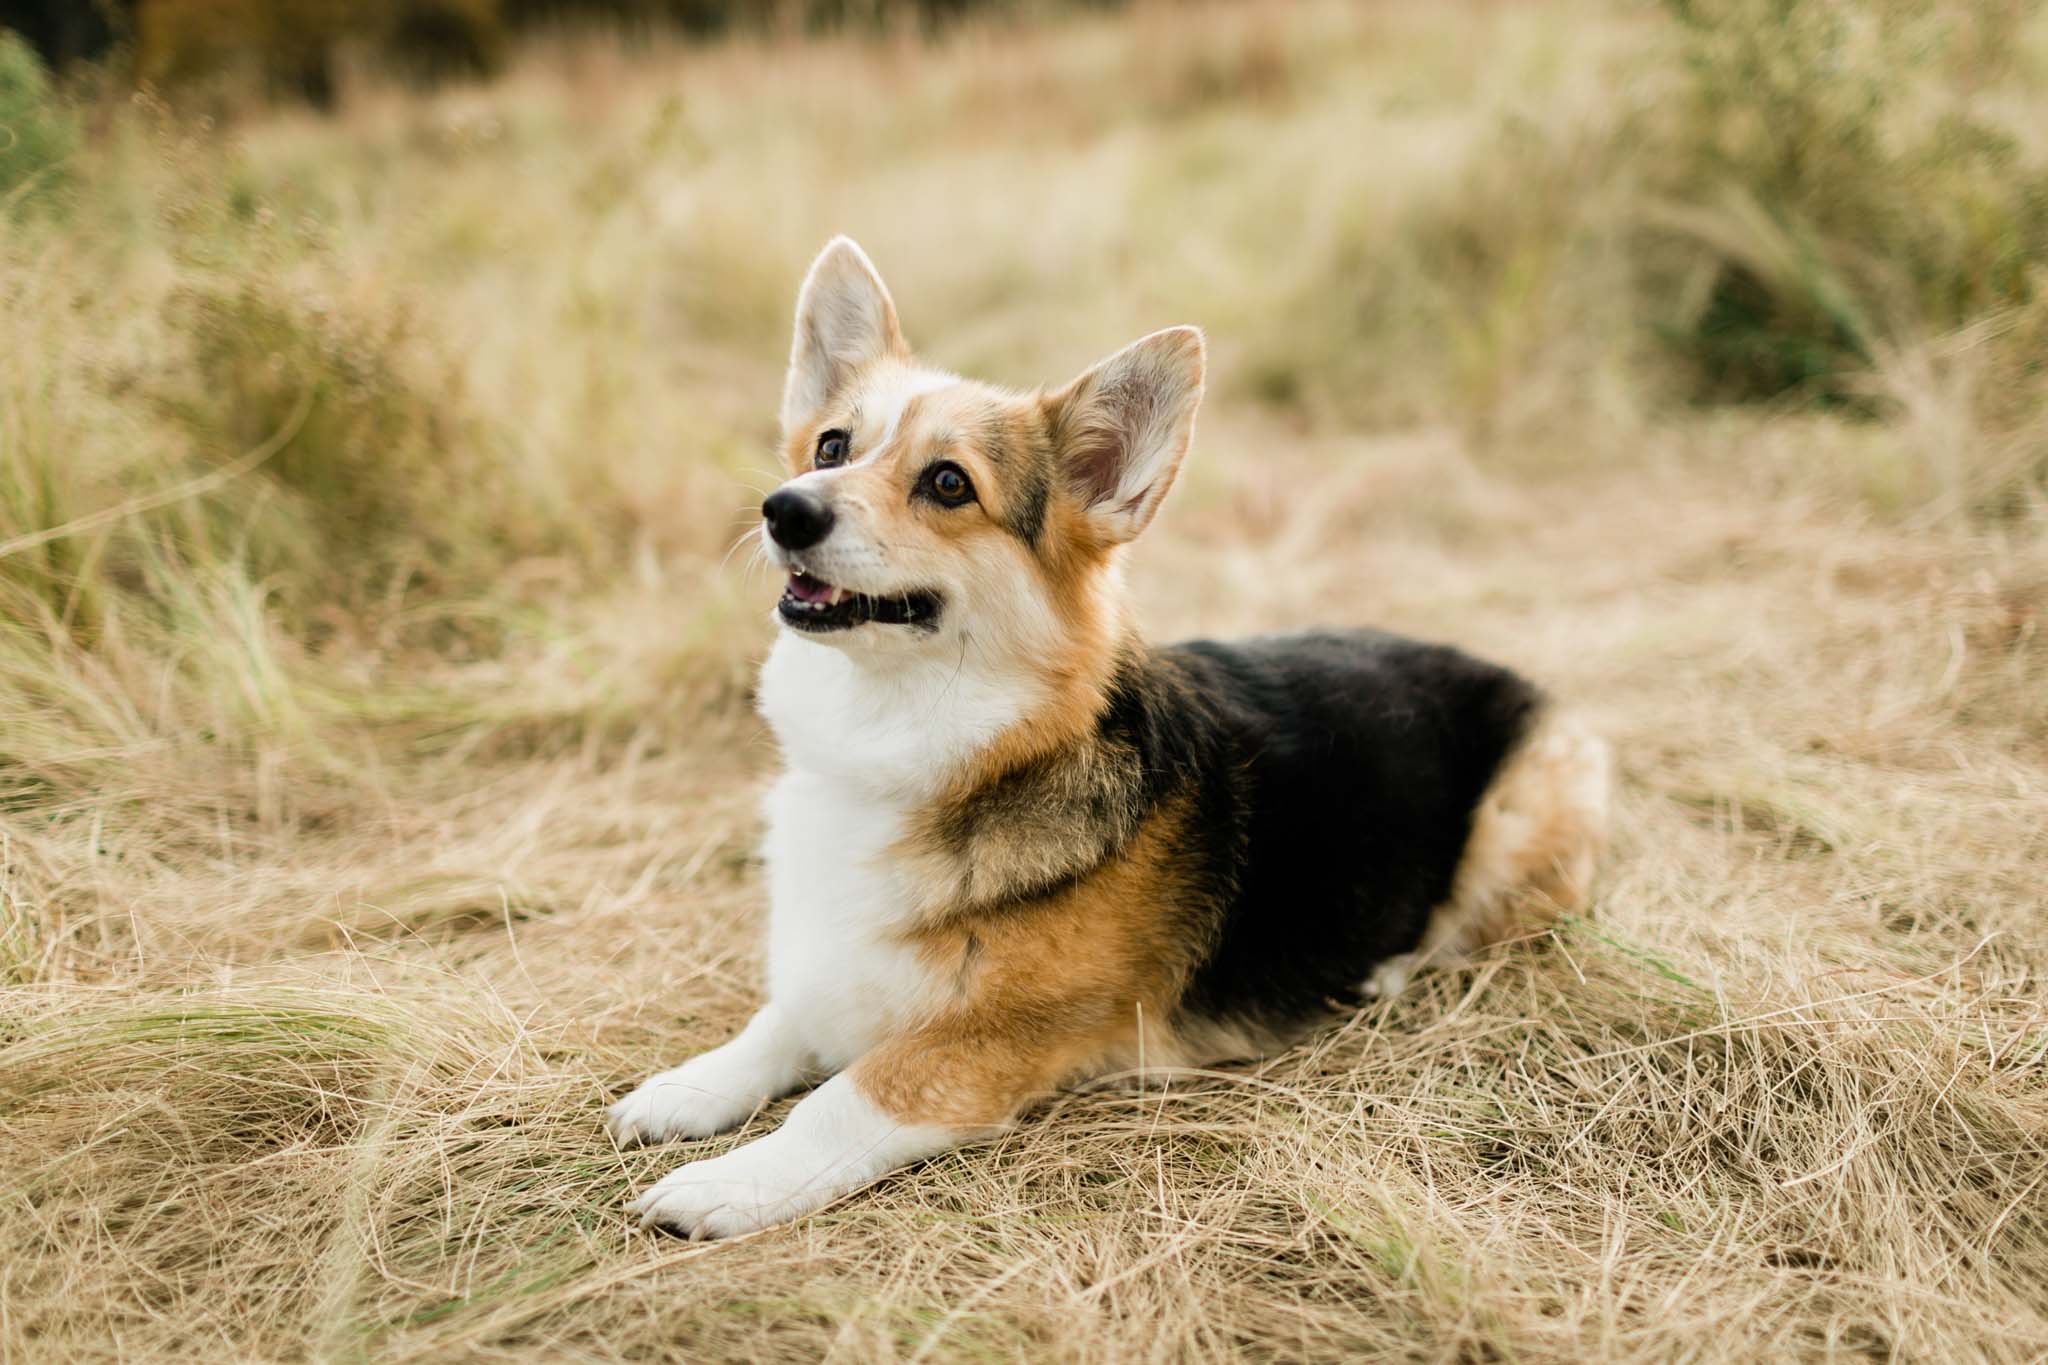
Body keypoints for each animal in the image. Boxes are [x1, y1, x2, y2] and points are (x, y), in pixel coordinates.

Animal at [606, 235, 1613, 1236]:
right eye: (830, 446)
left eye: (947, 482)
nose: (786, 508)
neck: (906, 737)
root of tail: (1499, 666)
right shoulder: (832, 967)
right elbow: (778, 1021)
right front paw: (689, 1087)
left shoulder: (990, 1044)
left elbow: (844, 1096)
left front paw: (728, 1181)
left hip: (1517, 820)